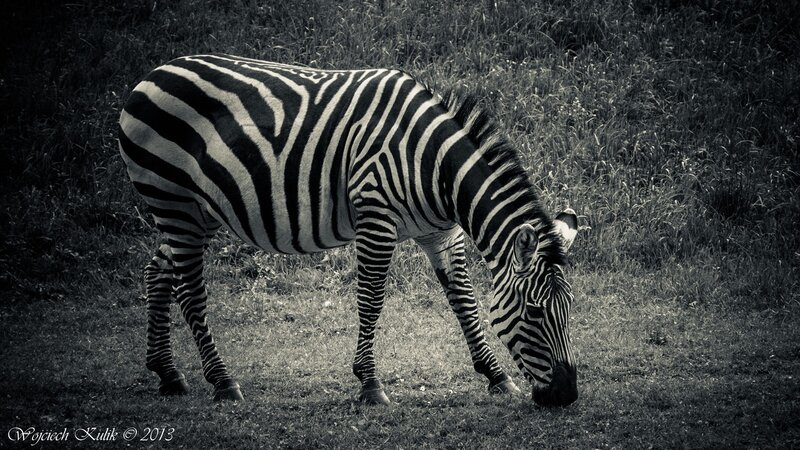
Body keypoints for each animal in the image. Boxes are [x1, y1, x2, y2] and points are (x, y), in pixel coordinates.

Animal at [118, 54, 580, 407]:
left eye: (571, 309)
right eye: (535, 312)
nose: (566, 396)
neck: (434, 167)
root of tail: (150, 75)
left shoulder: (441, 234)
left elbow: (464, 301)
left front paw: (496, 376)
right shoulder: (375, 217)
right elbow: (372, 300)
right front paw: (370, 384)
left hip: (199, 210)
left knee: (158, 271)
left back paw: (168, 374)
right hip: (173, 200)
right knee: (190, 291)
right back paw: (222, 382)